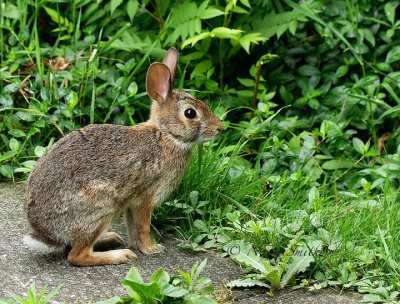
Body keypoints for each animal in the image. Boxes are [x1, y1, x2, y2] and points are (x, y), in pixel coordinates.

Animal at [23, 47, 223, 266]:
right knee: (76, 256)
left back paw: (112, 239)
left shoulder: (131, 203)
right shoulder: (146, 197)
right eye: (190, 113)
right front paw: (152, 249)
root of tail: (47, 232)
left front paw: (140, 246)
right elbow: (143, 226)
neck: (165, 136)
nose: (220, 128)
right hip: (102, 205)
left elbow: (132, 227)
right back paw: (121, 255)